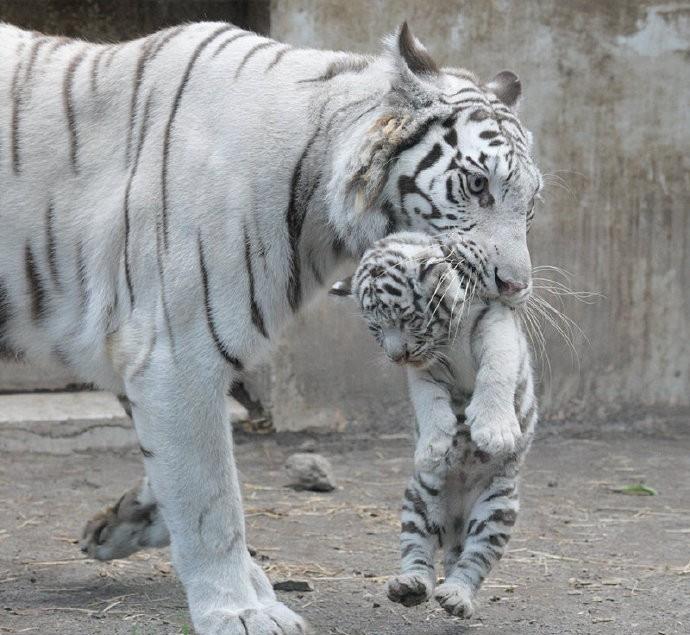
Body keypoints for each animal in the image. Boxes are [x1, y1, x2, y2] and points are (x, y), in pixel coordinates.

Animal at [0, 19, 536, 635]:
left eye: (532, 203)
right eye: (477, 186)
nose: (516, 286)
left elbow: (170, 478)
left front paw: (123, 523)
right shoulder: (175, 355)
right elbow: (212, 499)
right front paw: (242, 609)